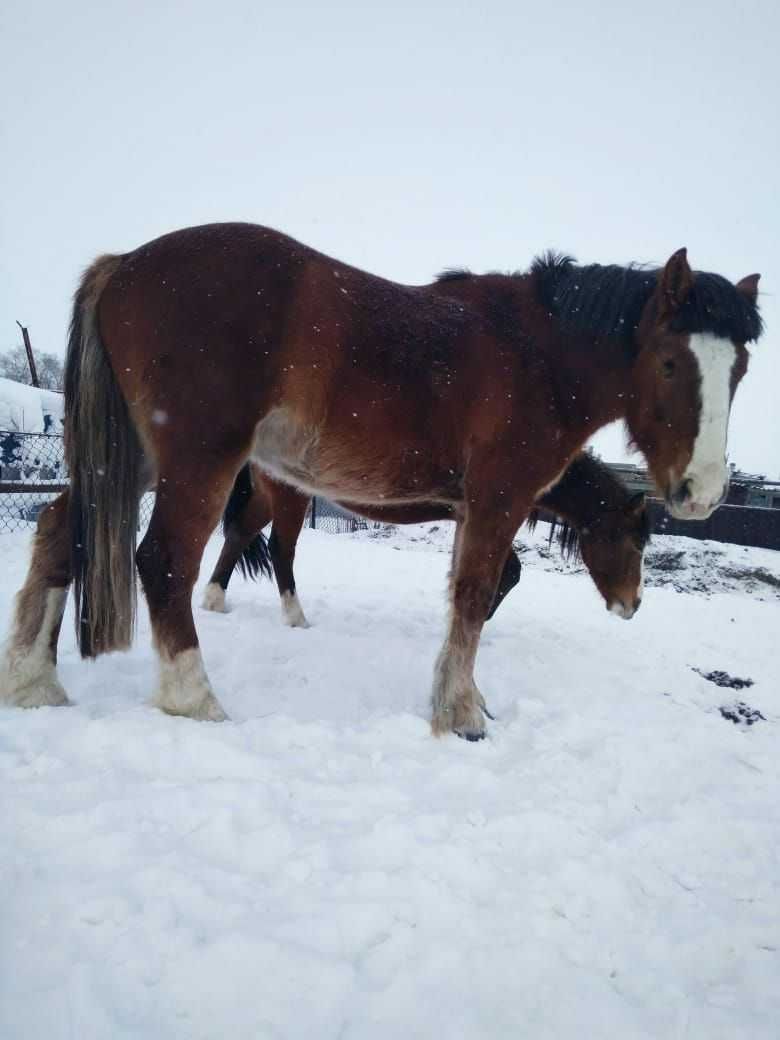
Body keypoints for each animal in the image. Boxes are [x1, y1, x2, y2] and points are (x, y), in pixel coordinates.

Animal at [202, 453, 653, 624]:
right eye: (635, 543)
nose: (633, 605)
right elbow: (509, 572)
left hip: (268, 495)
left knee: (239, 533)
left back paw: (215, 600)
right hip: (290, 494)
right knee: (282, 550)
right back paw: (296, 617)